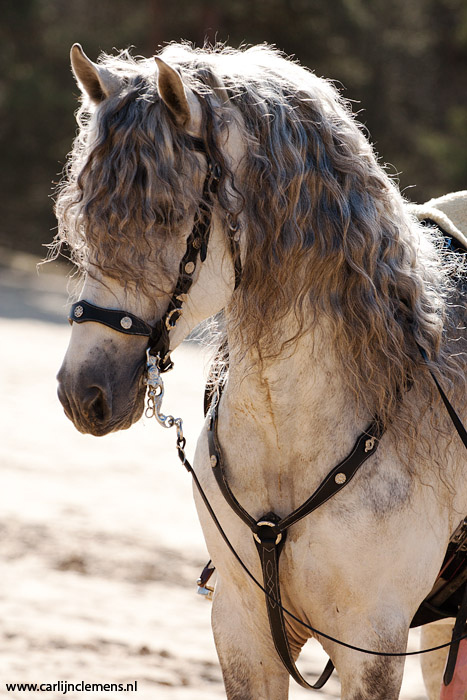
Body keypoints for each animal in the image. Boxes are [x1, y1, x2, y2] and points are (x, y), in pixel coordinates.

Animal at [53, 45, 466, 700]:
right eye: (86, 212)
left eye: (165, 214)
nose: (82, 393)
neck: (289, 431)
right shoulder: (243, 628)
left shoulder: (373, 644)